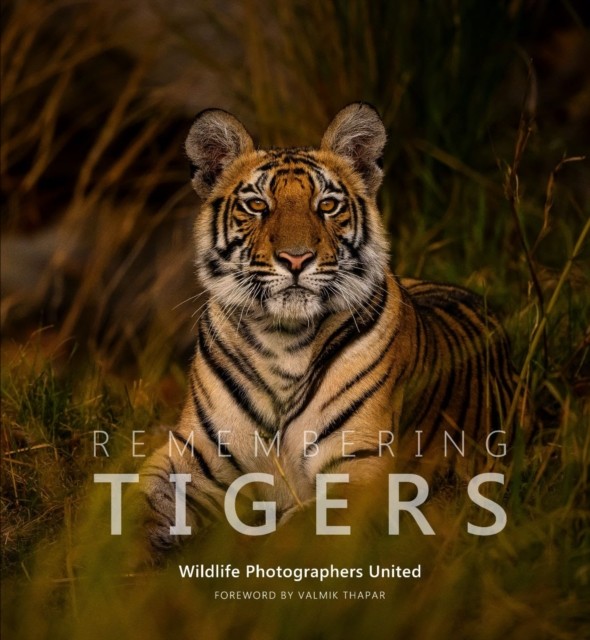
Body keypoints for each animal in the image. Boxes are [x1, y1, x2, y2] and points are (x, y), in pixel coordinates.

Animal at [138, 103, 523, 558]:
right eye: (256, 205)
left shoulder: (358, 471)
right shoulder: (192, 456)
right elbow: (137, 504)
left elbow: (291, 536)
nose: (296, 258)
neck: (281, 339)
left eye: (327, 204)